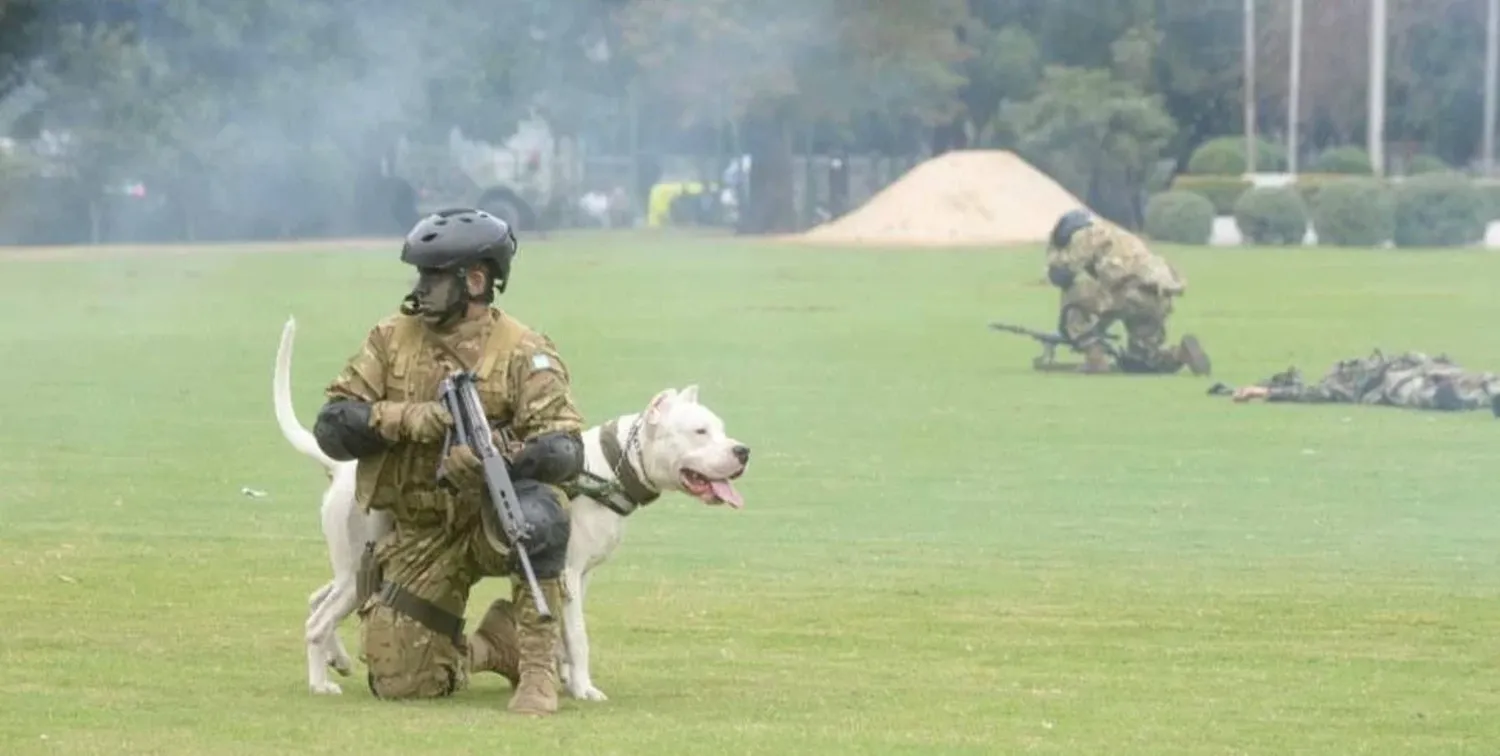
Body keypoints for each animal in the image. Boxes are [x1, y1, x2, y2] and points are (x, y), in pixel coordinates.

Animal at [271, 316, 750, 699]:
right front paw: (583, 688)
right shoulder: (568, 573)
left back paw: (337, 659)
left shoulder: (577, 579)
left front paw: (561, 675)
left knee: (317, 600)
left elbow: (563, 635)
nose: (742, 451)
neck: (604, 469)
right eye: (699, 431)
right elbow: (578, 636)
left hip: (353, 571)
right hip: (359, 568)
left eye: (720, 428)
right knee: (318, 620)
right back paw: (319, 681)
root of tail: (341, 467)